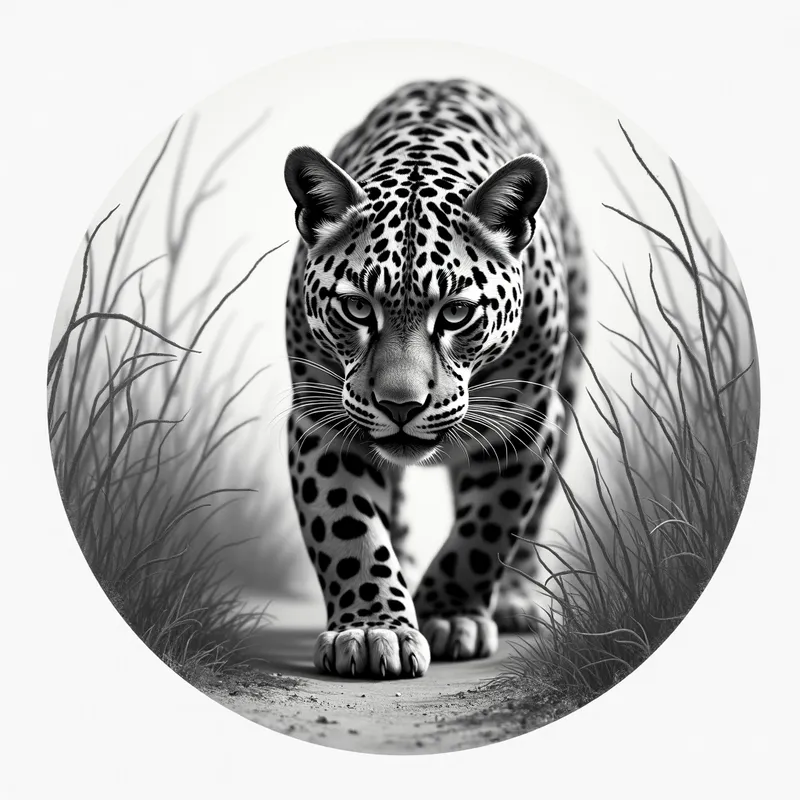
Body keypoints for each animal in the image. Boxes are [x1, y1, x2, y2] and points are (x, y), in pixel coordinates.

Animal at [282, 78, 587, 679]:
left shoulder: (525, 421)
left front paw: (450, 614)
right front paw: (373, 627)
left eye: (456, 314)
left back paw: (513, 602)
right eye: (357, 308)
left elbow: (487, 529)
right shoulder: (321, 421)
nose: (401, 405)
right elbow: (347, 527)